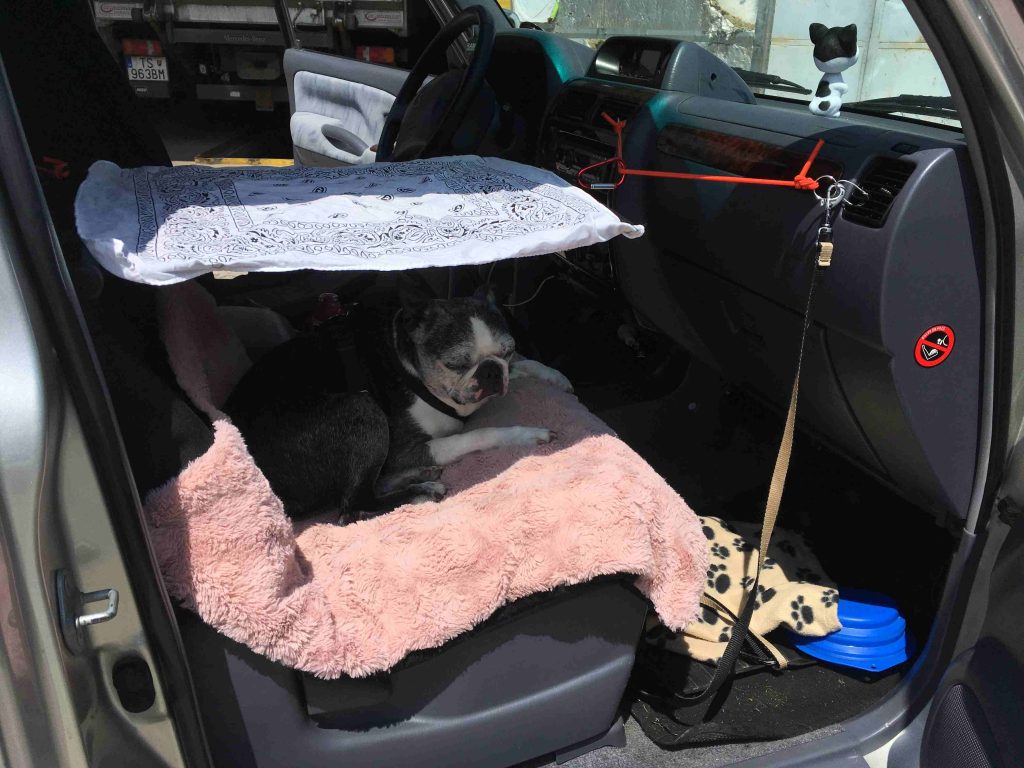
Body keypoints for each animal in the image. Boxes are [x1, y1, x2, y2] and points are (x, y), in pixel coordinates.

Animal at [223, 284, 572, 521]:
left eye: (507, 351)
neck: (412, 368)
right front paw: (527, 434)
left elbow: (525, 367)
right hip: (362, 411)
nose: (490, 372)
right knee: (352, 507)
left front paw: (556, 377)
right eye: (456, 364)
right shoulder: (406, 448)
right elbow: (479, 434)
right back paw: (421, 491)